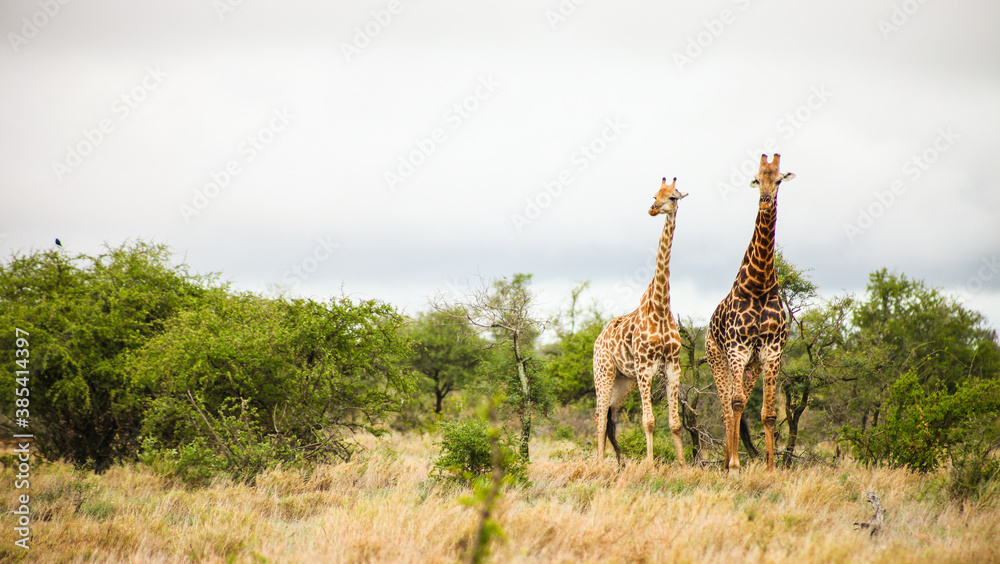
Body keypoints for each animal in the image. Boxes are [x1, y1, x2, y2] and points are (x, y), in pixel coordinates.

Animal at [593, 177, 687, 467]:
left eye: (673, 197)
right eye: (654, 195)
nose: (652, 209)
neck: (660, 307)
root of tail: (597, 339)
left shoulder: (673, 366)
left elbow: (675, 423)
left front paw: (683, 466)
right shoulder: (645, 368)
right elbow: (649, 421)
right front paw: (651, 465)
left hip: (624, 381)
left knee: (608, 417)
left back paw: (615, 463)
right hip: (603, 372)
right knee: (599, 417)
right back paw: (599, 465)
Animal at [706, 153, 795, 472]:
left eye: (778, 180)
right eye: (756, 179)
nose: (765, 201)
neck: (759, 284)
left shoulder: (771, 352)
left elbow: (768, 413)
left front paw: (770, 467)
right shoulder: (736, 349)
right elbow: (735, 404)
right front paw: (734, 465)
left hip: (752, 366)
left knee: (740, 402)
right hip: (718, 359)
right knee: (727, 407)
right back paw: (726, 462)